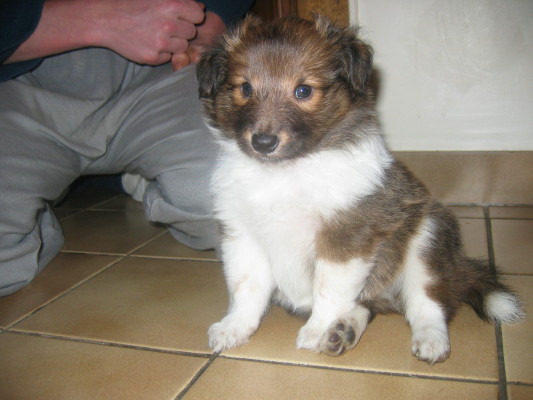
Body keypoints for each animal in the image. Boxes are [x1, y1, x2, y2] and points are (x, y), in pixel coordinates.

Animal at [196, 15, 524, 364]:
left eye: (303, 90)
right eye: (245, 88)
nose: (263, 142)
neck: (286, 171)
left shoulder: (346, 235)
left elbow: (328, 287)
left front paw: (316, 330)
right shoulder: (242, 232)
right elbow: (246, 287)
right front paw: (234, 328)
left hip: (428, 240)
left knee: (427, 302)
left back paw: (430, 341)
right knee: (367, 305)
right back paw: (344, 331)